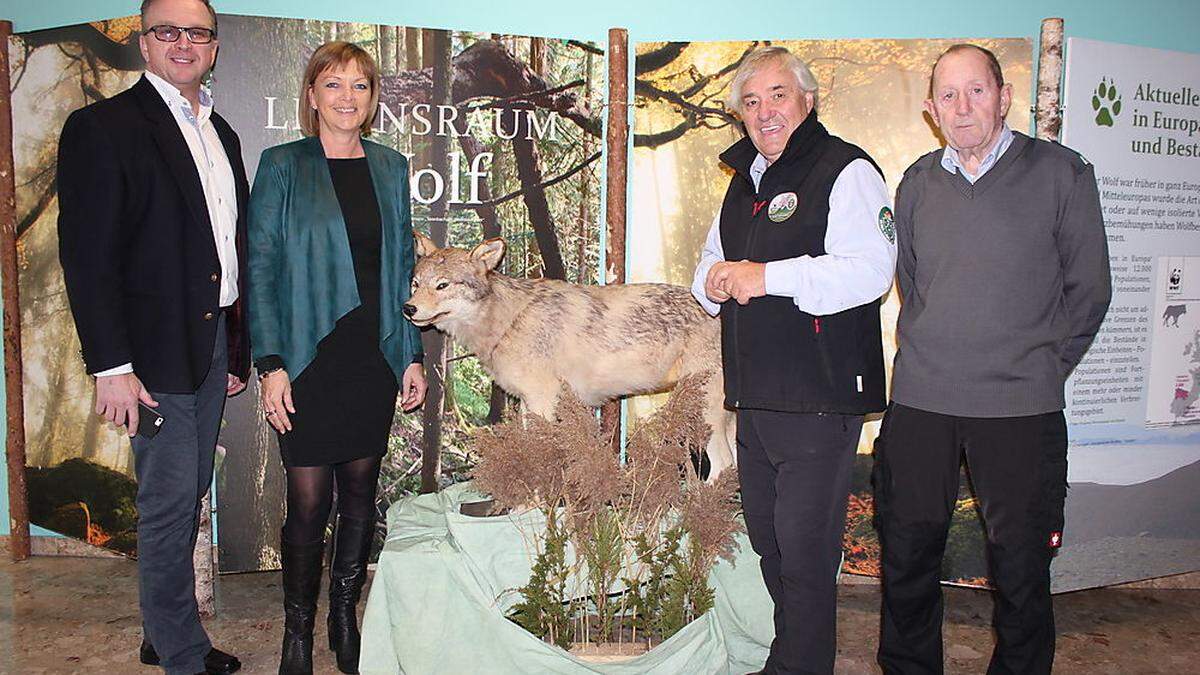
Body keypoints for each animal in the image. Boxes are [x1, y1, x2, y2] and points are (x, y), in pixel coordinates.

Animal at [403, 234, 734, 475]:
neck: (509, 320)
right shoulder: (528, 403)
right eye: (415, 284)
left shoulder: (543, 401)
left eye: (442, 285)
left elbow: (540, 453)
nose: (408, 308)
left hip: (706, 414)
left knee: (723, 465)